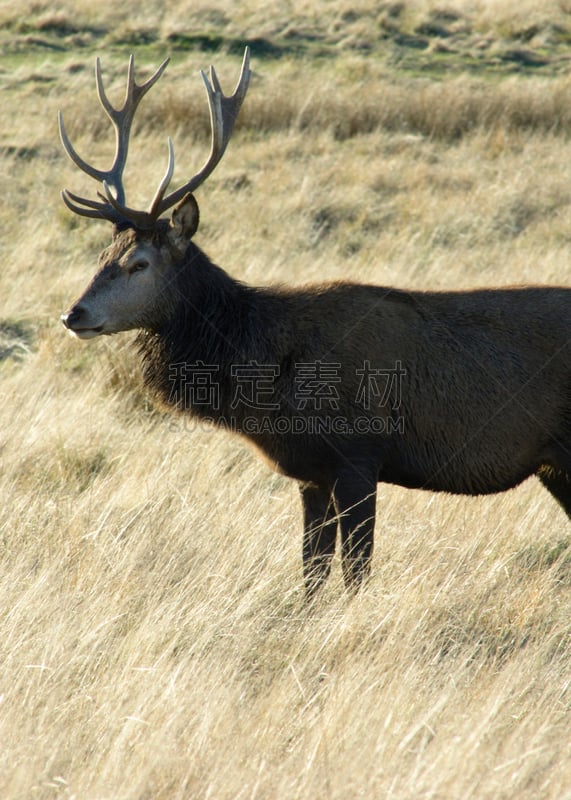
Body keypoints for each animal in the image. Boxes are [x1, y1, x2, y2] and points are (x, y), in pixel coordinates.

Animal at [61, 48, 571, 600]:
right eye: (102, 255)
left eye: (139, 263)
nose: (74, 314)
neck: (272, 384)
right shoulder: (311, 472)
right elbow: (311, 573)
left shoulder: (359, 455)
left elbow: (355, 573)